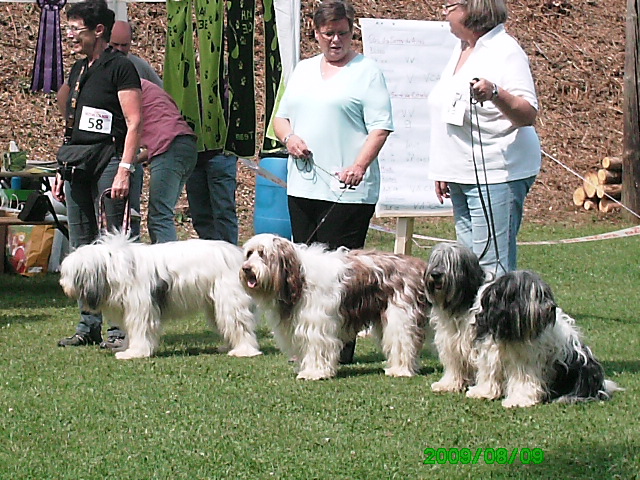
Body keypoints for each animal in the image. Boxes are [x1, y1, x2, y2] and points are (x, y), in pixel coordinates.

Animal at [58, 232, 262, 360]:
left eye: (68, 275)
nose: (62, 285)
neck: (111, 268)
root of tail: (240, 257)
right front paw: (126, 348)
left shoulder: (141, 309)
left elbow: (140, 330)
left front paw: (134, 353)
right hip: (215, 305)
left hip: (230, 301)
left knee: (240, 325)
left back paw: (244, 351)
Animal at [240, 234, 430, 380]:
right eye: (249, 253)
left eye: (263, 254)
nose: (246, 269)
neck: (298, 277)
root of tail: (419, 266)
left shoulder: (316, 325)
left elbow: (316, 348)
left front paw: (313, 373)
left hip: (401, 317)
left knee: (404, 343)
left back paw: (400, 370)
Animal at [424, 244, 620, 408]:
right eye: (436, 261)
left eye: (452, 263)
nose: (436, 274)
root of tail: (600, 382)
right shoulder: (466, 345)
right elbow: (468, 368)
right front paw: (455, 385)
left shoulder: (523, 357)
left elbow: (522, 378)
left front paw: (518, 400)